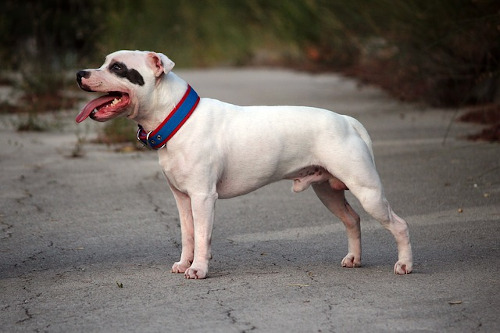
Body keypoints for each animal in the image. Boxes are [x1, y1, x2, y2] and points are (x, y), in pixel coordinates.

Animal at [77, 50, 414, 278]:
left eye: (118, 68)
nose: (80, 73)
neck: (176, 119)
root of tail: (346, 120)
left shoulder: (203, 197)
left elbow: (203, 236)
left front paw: (199, 269)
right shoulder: (183, 199)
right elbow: (189, 235)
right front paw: (185, 263)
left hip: (368, 192)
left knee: (398, 225)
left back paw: (405, 264)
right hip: (328, 191)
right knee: (352, 220)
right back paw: (354, 259)